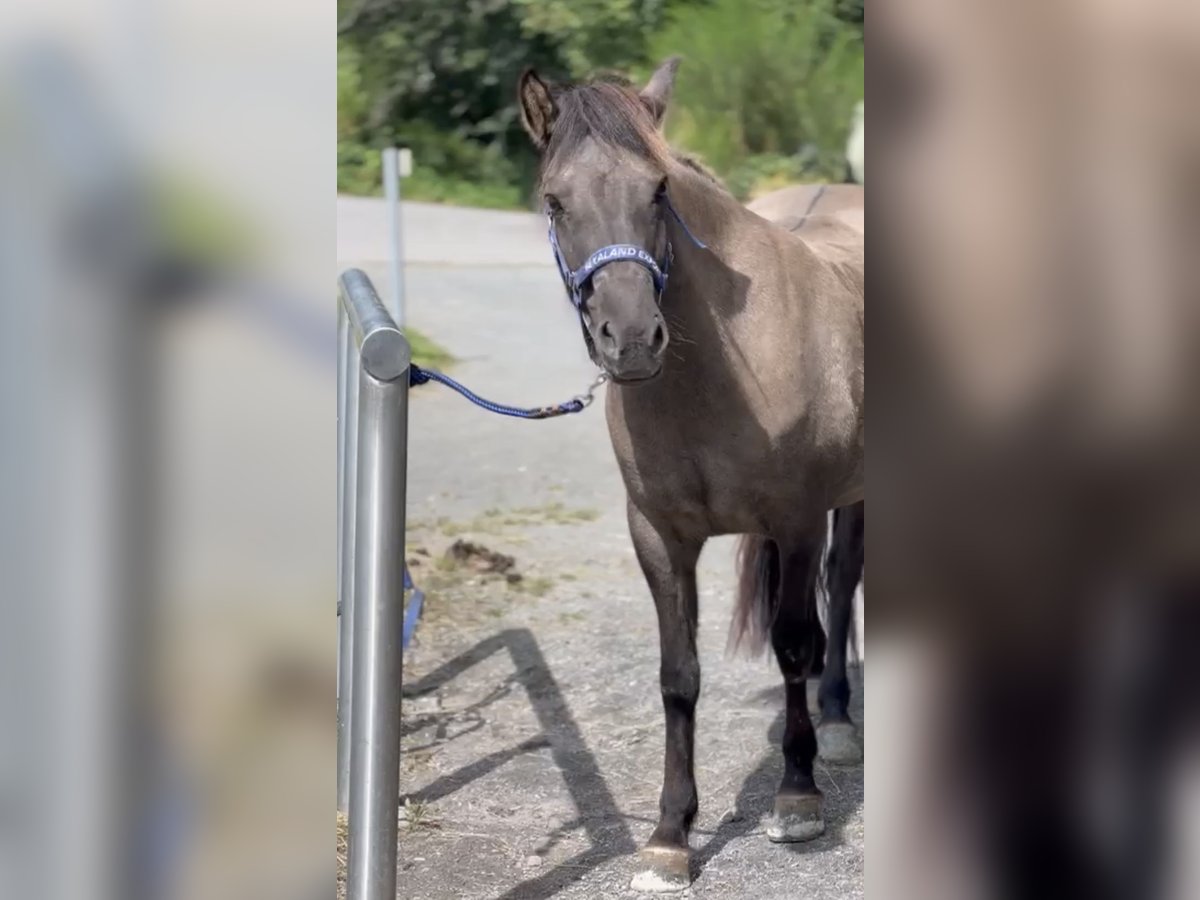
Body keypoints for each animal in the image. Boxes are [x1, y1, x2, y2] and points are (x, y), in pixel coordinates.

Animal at [516, 58, 864, 897]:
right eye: (555, 200)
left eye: (658, 191)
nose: (633, 339)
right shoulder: (660, 535)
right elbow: (679, 675)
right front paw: (670, 835)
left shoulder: (797, 519)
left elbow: (793, 642)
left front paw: (796, 798)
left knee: (842, 586)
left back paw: (837, 724)